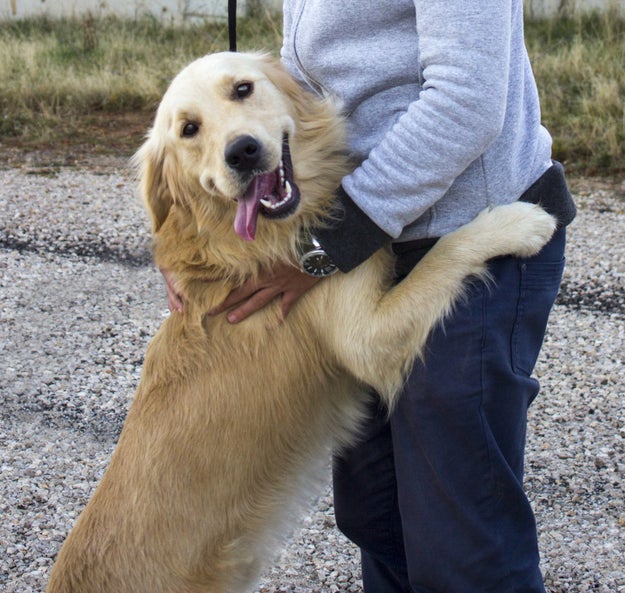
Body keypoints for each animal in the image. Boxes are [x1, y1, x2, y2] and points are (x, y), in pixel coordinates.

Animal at [48, 52, 556, 592]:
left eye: (242, 89)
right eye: (188, 129)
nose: (243, 152)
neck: (235, 247)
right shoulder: (365, 337)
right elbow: (446, 251)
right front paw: (516, 222)